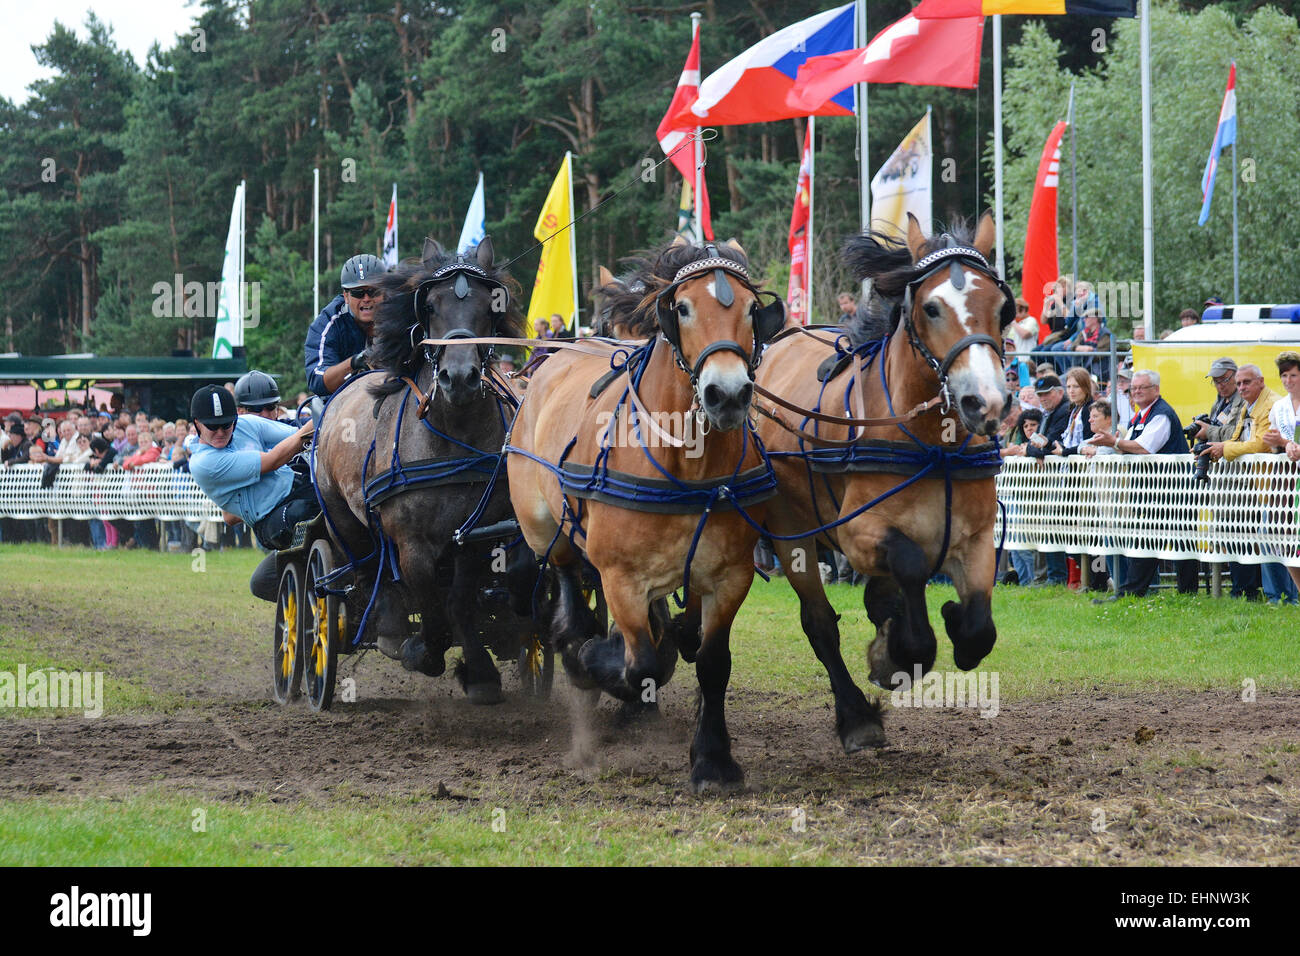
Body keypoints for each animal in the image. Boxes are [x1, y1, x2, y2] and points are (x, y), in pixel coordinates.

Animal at [759, 214, 1008, 754]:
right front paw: (901, 652)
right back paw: (857, 719)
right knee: (819, 624)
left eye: (1003, 307)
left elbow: (979, 629)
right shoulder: (857, 533)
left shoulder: (977, 538)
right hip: (792, 531)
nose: (985, 402)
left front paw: (949, 623)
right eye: (931, 307)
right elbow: (911, 565)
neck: (933, 446)